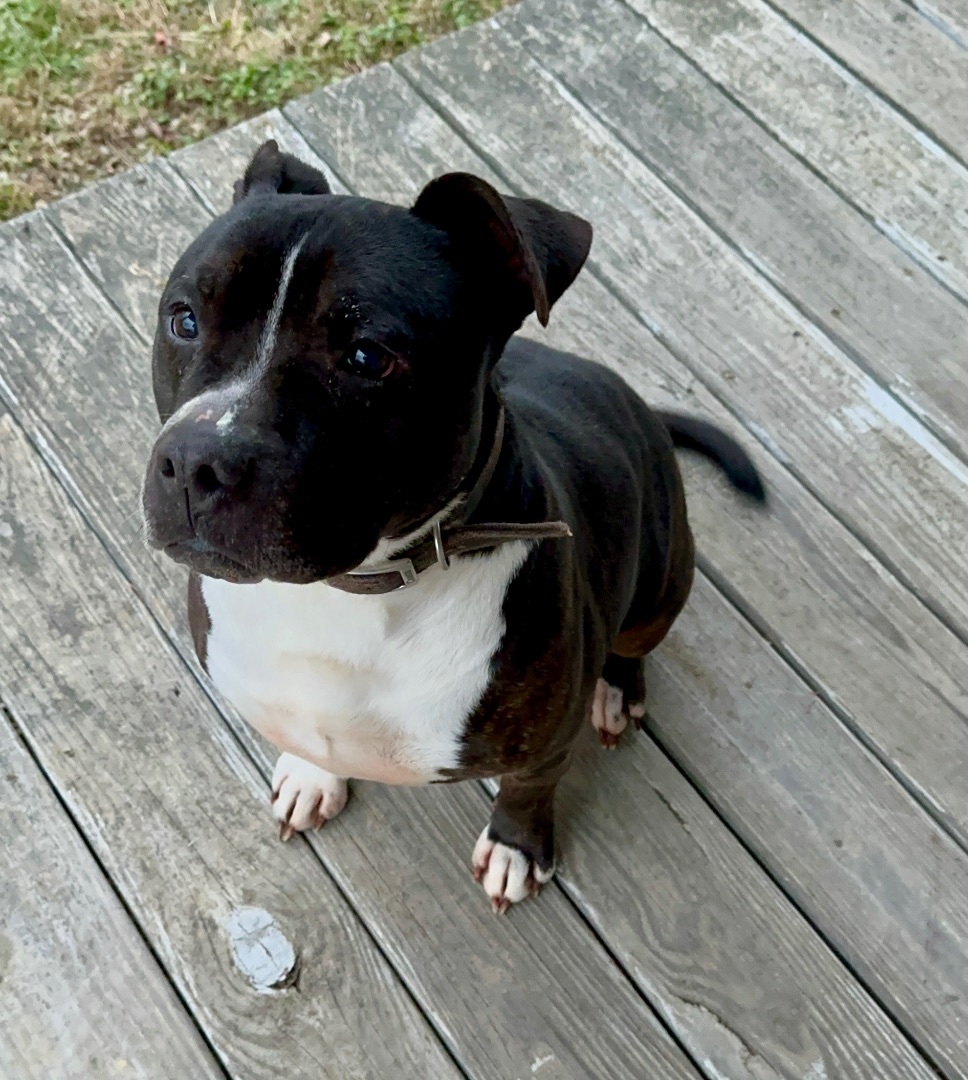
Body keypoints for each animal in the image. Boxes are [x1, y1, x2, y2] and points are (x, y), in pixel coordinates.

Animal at [143, 141, 764, 911]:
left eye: (367, 356)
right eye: (184, 320)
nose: (196, 461)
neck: (350, 592)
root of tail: (636, 402)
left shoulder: (546, 742)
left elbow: (531, 788)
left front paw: (516, 847)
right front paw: (313, 774)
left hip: (662, 576)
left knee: (635, 640)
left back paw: (618, 690)